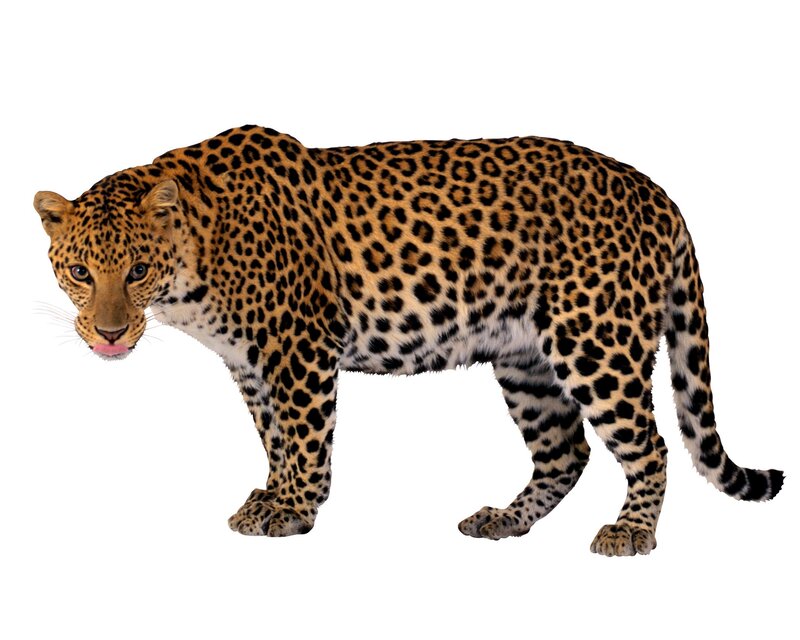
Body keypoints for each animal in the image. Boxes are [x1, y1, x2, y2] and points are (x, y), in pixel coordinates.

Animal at [34, 125, 784, 555]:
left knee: (650, 444)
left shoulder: (301, 346)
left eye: (136, 270)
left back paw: (632, 532)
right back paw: (505, 521)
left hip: (596, 340)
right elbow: (274, 436)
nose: (108, 334)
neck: (198, 258)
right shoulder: (251, 365)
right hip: (524, 360)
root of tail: (657, 191)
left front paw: (295, 510)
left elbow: (305, 435)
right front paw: (272, 496)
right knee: (564, 452)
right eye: (80, 272)